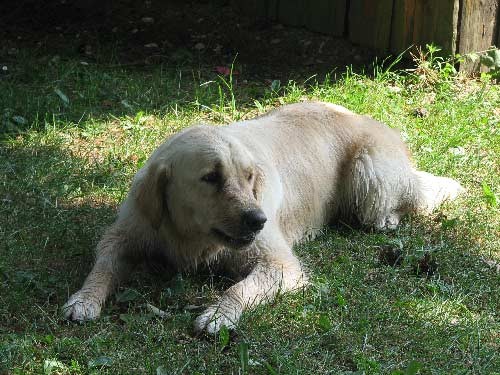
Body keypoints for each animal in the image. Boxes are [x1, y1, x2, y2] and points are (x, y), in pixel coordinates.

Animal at [63, 102, 464, 334]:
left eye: (249, 177)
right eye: (211, 177)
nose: (258, 220)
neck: (189, 239)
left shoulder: (279, 263)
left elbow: (240, 287)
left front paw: (219, 314)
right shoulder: (126, 233)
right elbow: (103, 267)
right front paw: (84, 299)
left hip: (369, 175)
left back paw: (388, 219)